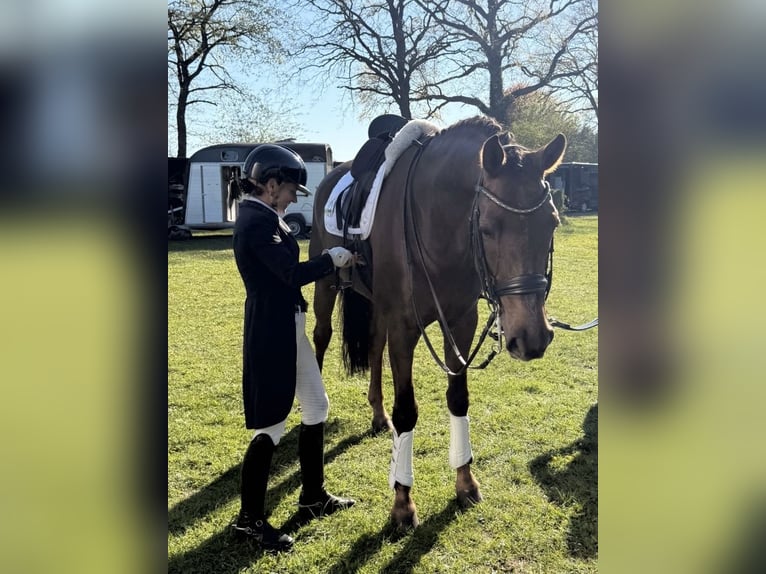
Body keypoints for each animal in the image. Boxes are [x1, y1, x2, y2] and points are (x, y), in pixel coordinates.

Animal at [308, 115, 566, 530]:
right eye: (488, 227)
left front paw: (465, 483)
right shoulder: (404, 328)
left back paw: (377, 414)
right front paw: (402, 503)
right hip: (325, 279)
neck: (438, 224)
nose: (532, 336)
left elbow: (458, 398)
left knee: (374, 343)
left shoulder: (460, 323)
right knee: (320, 335)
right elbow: (407, 410)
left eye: (552, 223)